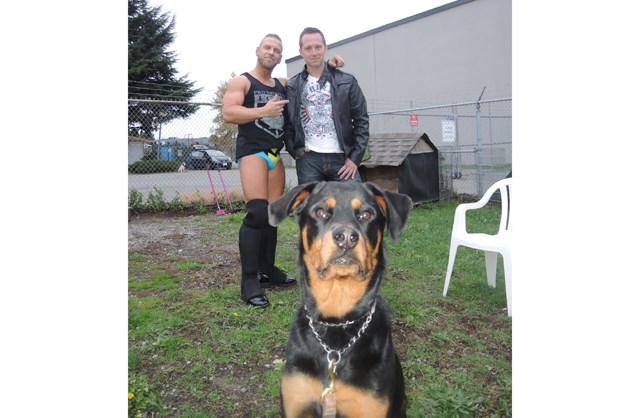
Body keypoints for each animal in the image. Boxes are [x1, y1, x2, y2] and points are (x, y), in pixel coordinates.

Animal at [268, 182, 412, 418]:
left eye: (366, 214)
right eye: (320, 212)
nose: (345, 236)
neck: (336, 322)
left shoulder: (370, 405)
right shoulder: (296, 401)